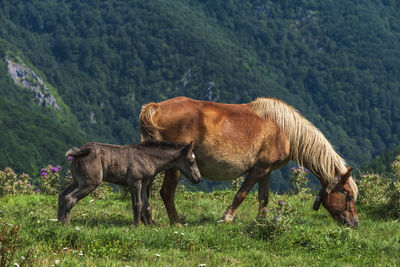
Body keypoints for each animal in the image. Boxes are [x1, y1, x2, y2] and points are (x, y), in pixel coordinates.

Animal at [57, 140, 200, 226]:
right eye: (191, 162)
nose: (198, 178)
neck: (149, 158)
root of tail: (80, 151)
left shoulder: (144, 184)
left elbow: (146, 206)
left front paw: (149, 226)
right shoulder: (135, 182)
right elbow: (137, 204)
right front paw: (137, 226)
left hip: (77, 181)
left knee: (62, 195)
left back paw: (58, 221)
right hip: (90, 182)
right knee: (70, 198)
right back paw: (66, 224)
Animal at [140, 97, 360, 227]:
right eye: (348, 195)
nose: (355, 223)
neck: (285, 130)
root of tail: (155, 108)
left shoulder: (267, 170)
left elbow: (264, 198)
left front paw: (263, 221)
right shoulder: (258, 169)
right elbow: (242, 194)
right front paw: (227, 218)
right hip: (175, 168)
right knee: (167, 193)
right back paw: (176, 223)